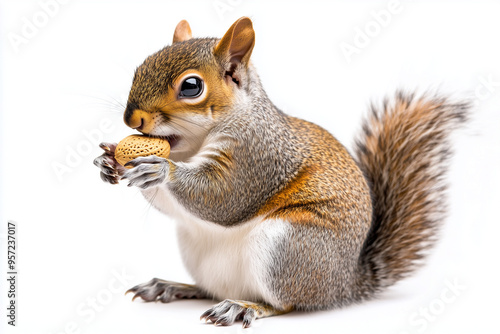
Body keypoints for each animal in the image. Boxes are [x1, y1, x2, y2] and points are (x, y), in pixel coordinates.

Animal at [93, 17, 468, 328]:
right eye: (140, 68)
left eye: (191, 87)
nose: (132, 119)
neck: (194, 145)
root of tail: (344, 285)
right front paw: (109, 161)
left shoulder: (258, 156)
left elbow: (223, 198)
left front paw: (160, 169)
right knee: (211, 289)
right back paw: (174, 287)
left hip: (290, 248)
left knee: (286, 303)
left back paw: (245, 307)